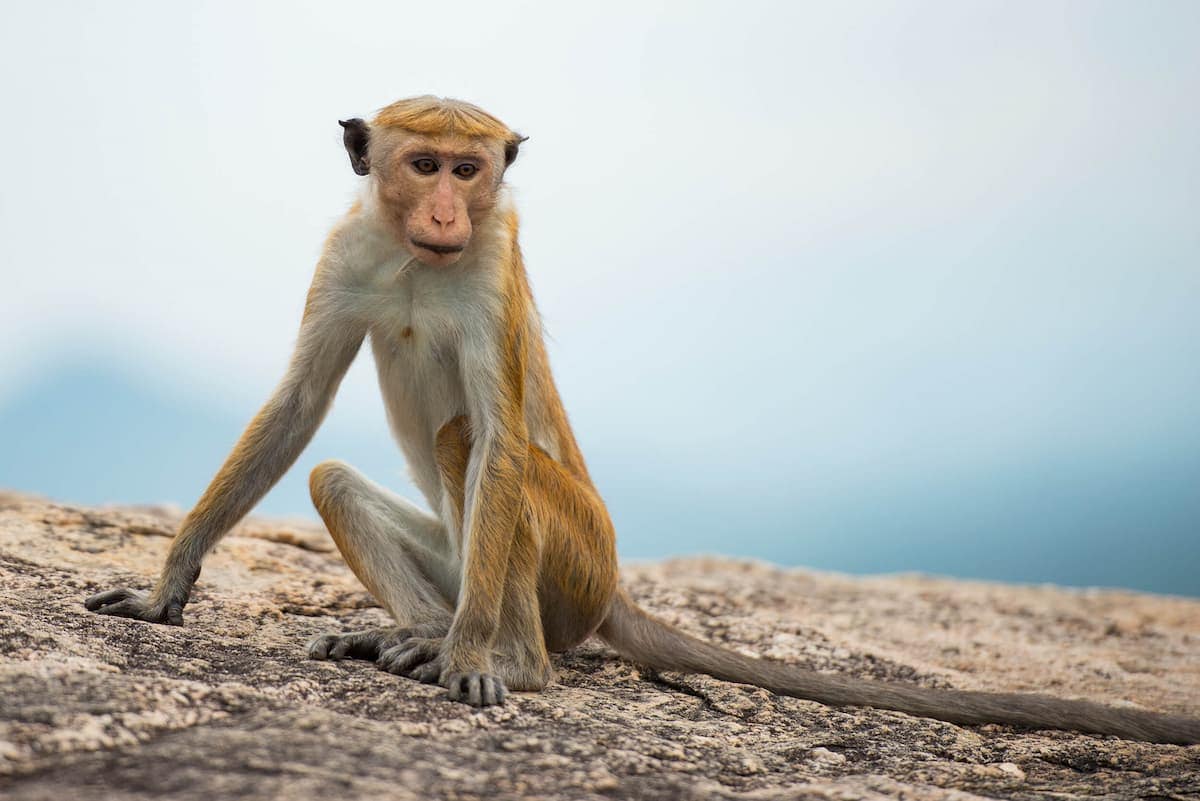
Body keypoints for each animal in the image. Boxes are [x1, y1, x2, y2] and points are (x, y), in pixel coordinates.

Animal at [84, 96, 1200, 744]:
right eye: (422, 165)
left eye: (468, 171)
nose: (446, 212)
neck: (416, 260)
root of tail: (613, 590)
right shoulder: (347, 252)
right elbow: (298, 406)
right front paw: (169, 582)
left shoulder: (493, 269)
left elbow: (495, 436)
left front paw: (477, 663)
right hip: (462, 558)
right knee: (337, 481)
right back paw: (411, 633)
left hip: (571, 568)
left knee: (470, 448)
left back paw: (504, 659)